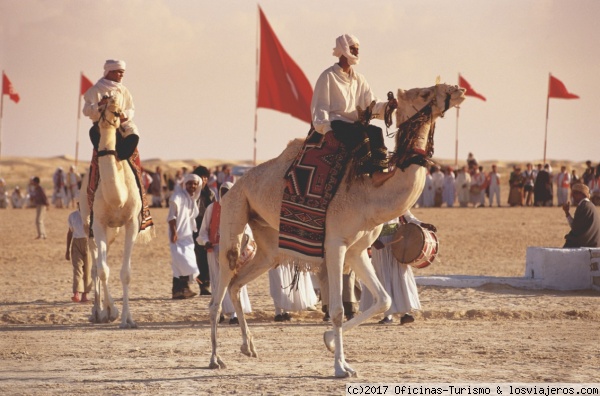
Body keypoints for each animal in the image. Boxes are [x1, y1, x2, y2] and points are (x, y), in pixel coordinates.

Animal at [78, 92, 154, 328]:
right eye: (100, 107)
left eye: (118, 111)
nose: (111, 100)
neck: (116, 198)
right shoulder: (99, 224)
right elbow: (103, 270)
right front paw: (111, 312)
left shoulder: (132, 223)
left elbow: (125, 273)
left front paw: (127, 319)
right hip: (88, 224)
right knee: (95, 266)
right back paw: (97, 312)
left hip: (113, 230)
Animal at [211, 82, 468, 376]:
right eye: (423, 93)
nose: (458, 89)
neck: (369, 195)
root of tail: (232, 185)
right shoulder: (335, 245)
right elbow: (336, 310)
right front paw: (340, 367)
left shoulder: (358, 250)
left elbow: (383, 299)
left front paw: (330, 343)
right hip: (234, 211)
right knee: (220, 289)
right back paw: (215, 358)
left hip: (268, 247)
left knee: (236, 284)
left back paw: (248, 347)